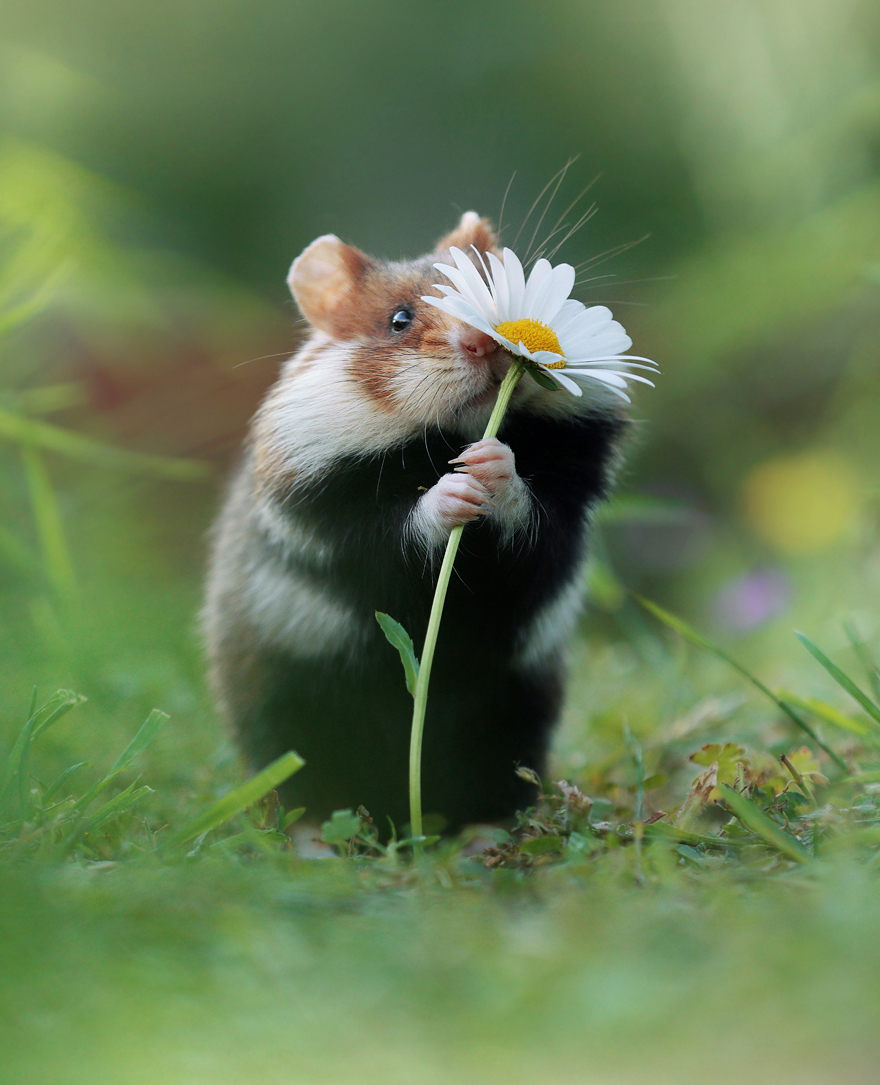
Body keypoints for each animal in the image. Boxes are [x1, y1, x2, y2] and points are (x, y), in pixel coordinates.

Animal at [202, 211, 627, 834]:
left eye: (490, 282)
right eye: (398, 320)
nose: (485, 342)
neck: (441, 439)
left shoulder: (564, 512)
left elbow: (531, 512)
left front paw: (491, 464)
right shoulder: (337, 522)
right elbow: (399, 529)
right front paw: (454, 488)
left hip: (514, 709)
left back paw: (481, 833)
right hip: (290, 709)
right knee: (304, 782)